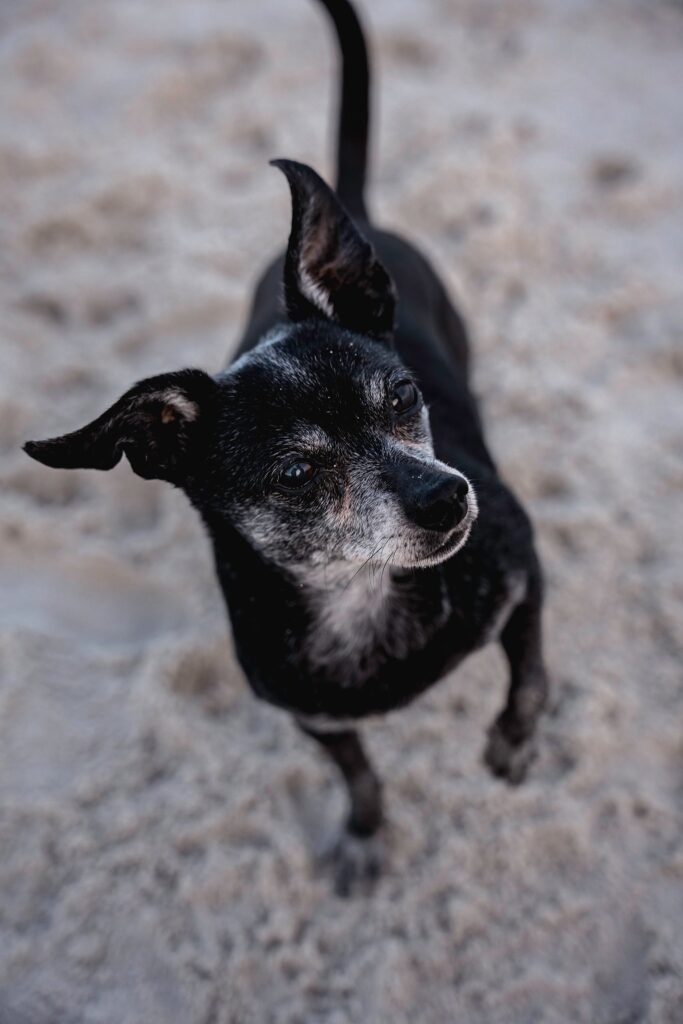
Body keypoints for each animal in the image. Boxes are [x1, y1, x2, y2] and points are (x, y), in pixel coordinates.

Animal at [25, 0, 548, 897]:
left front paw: (515, 743)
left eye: (400, 397)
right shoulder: (311, 719)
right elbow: (360, 773)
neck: (360, 597)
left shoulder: (524, 573)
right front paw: (364, 835)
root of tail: (360, 217)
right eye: (298, 472)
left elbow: (527, 676)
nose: (447, 496)